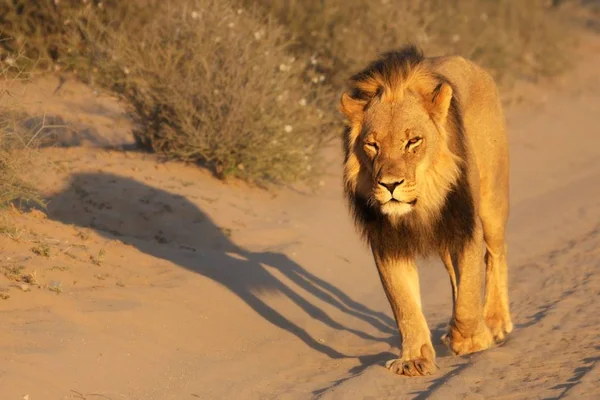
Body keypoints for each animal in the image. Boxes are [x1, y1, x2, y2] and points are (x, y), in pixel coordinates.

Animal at [340, 45, 512, 376]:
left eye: (413, 141)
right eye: (372, 145)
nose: (390, 184)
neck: (420, 207)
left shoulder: (465, 225)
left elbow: (469, 293)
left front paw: (470, 339)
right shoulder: (388, 242)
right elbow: (404, 304)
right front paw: (414, 359)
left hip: (491, 202)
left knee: (495, 254)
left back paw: (496, 322)